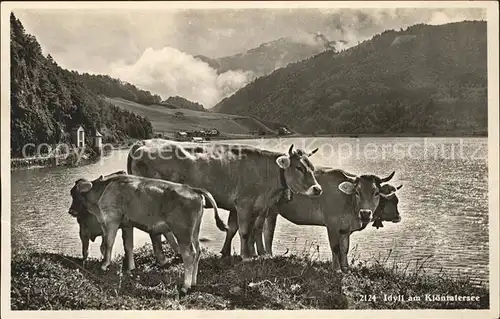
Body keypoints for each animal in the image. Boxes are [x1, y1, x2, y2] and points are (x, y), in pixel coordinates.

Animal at [68, 172, 227, 296]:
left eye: (74, 193)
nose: (70, 211)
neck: (105, 188)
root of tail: (192, 189)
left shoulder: (112, 221)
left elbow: (107, 244)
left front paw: (104, 265)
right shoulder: (127, 224)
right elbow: (128, 246)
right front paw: (130, 268)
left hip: (183, 234)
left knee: (189, 255)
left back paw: (185, 287)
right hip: (194, 232)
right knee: (198, 252)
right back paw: (193, 283)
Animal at [128, 139, 324, 262]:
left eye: (312, 168)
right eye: (299, 167)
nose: (318, 189)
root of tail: (143, 143)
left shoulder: (254, 206)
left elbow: (241, 229)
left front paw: (237, 253)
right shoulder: (244, 203)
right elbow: (244, 231)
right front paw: (246, 257)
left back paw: (175, 252)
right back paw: (162, 258)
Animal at [219, 168, 398, 272]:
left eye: (376, 193)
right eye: (357, 192)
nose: (366, 213)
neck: (348, 202)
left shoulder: (345, 228)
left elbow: (344, 248)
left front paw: (346, 268)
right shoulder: (332, 224)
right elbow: (335, 247)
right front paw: (336, 269)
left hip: (269, 210)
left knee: (262, 231)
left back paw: (263, 254)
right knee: (249, 229)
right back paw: (252, 254)